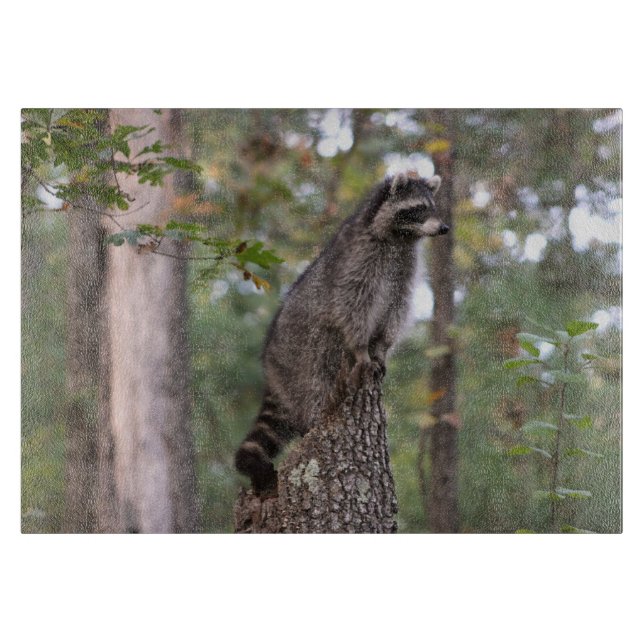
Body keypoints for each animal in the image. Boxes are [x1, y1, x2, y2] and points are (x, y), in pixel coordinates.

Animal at [235, 173, 449, 494]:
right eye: (419, 208)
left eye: (433, 207)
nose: (444, 228)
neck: (400, 237)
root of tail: (270, 368)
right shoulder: (360, 260)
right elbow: (352, 306)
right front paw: (362, 349)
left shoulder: (404, 268)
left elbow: (395, 310)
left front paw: (381, 347)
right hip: (298, 356)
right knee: (320, 364)